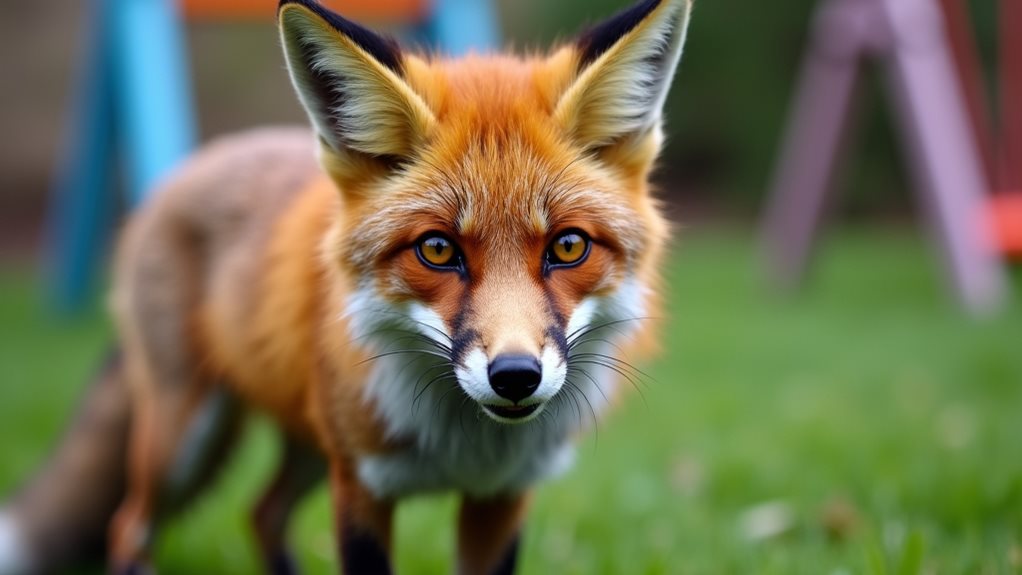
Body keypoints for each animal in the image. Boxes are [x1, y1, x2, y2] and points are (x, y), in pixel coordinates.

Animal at [0, 0, 693, 573]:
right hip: (186, 438)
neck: (462, 446)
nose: (516, 376)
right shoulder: (359, 487)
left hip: (307, 445)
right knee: (128, 526)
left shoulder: (500, 500)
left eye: (568, 247)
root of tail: (190, 166)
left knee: (261, 512)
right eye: (437, 249)